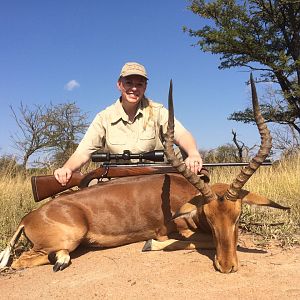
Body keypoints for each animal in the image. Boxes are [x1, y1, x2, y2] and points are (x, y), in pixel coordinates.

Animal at [0, 76, 290, 274]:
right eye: (208, 216)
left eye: (238, 215)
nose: (227, 266)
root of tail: (28, 218)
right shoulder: (173, 231)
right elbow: (195, 241)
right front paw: (150, 244)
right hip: (68, 239)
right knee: (19, 262)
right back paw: (59, 261)